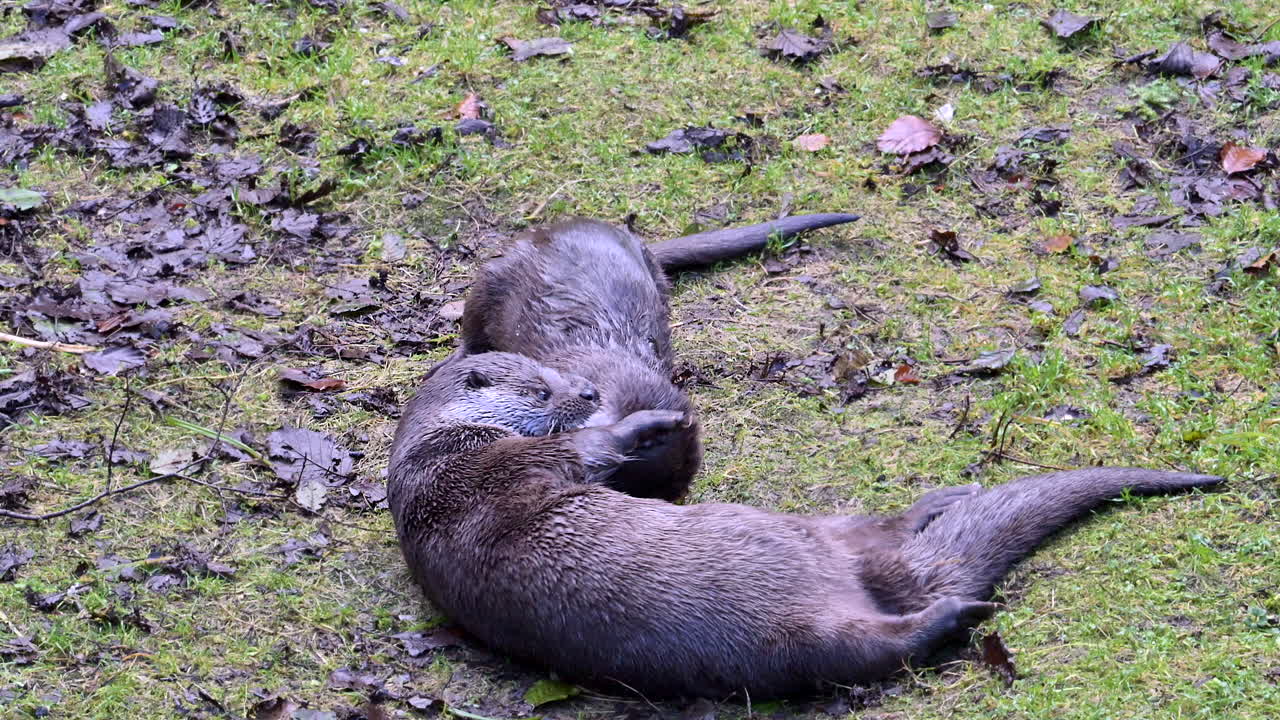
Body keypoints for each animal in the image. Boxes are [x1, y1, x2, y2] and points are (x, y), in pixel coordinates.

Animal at [387, 353, 1223, 700]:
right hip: (793, 597)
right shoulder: (502, 465)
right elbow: (585, 450)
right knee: (881, 633)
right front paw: (646, 421)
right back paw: (958, 608)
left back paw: (941, 509)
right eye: (542, 384)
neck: (437, 455)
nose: (590, 390)